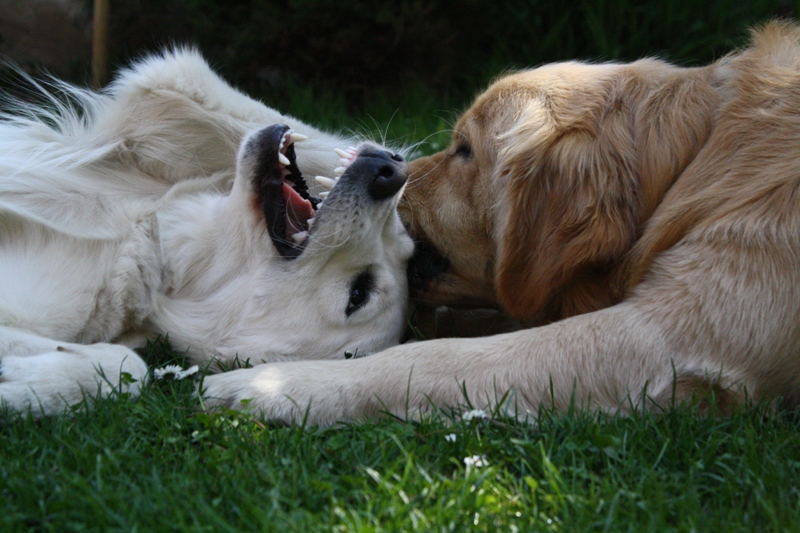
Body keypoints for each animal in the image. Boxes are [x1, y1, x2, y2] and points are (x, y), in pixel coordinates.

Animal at [0, 48, 412, 416]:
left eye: (358, 295)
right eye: (403, 241)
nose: (391, 173)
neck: (153, 241)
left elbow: (130, 365)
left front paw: (27, 384)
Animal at [205, 20, 800, 422]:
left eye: (465, 150)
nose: (390, 165)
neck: (697, 159)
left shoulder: (667, 340)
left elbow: (433, 358)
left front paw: (269, 384)